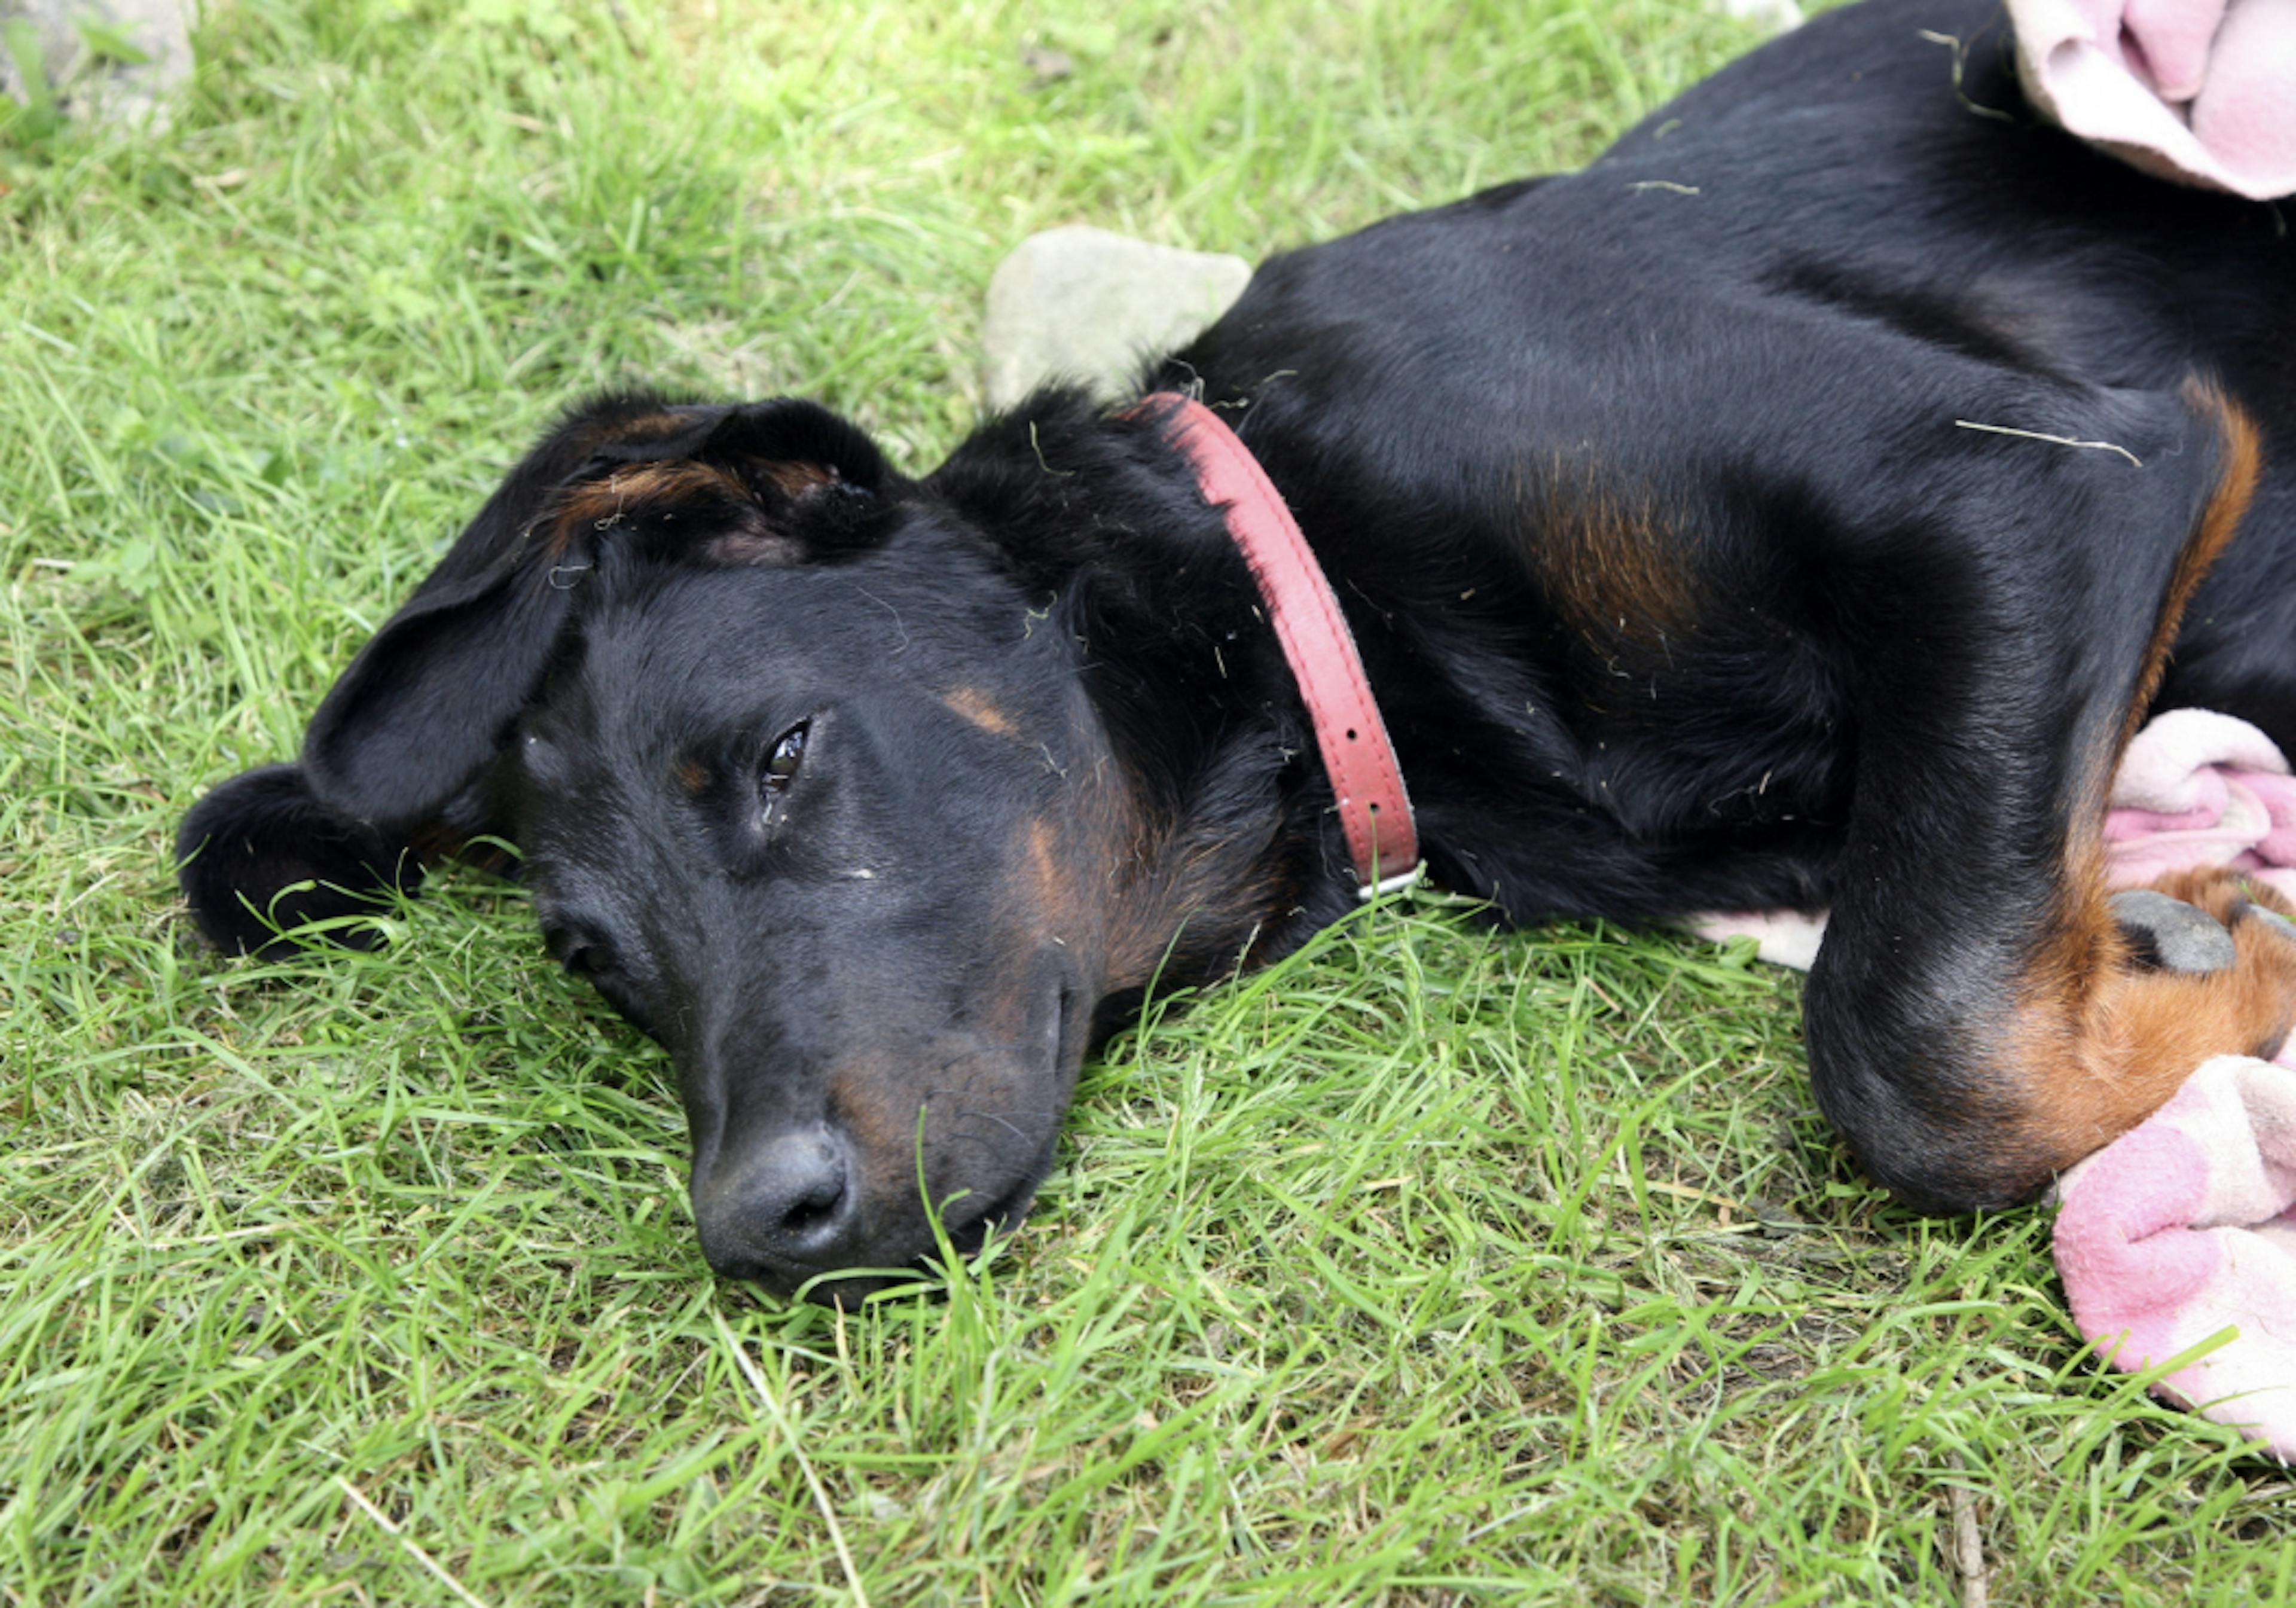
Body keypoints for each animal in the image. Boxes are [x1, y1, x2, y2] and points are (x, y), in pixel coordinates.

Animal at [174, 0, 2296, 1304]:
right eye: (592, 963)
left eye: (781, 754)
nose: (755, 1225)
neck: (1323, 603)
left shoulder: (2034, 472)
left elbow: (1916, 1035)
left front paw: (2236, 962)